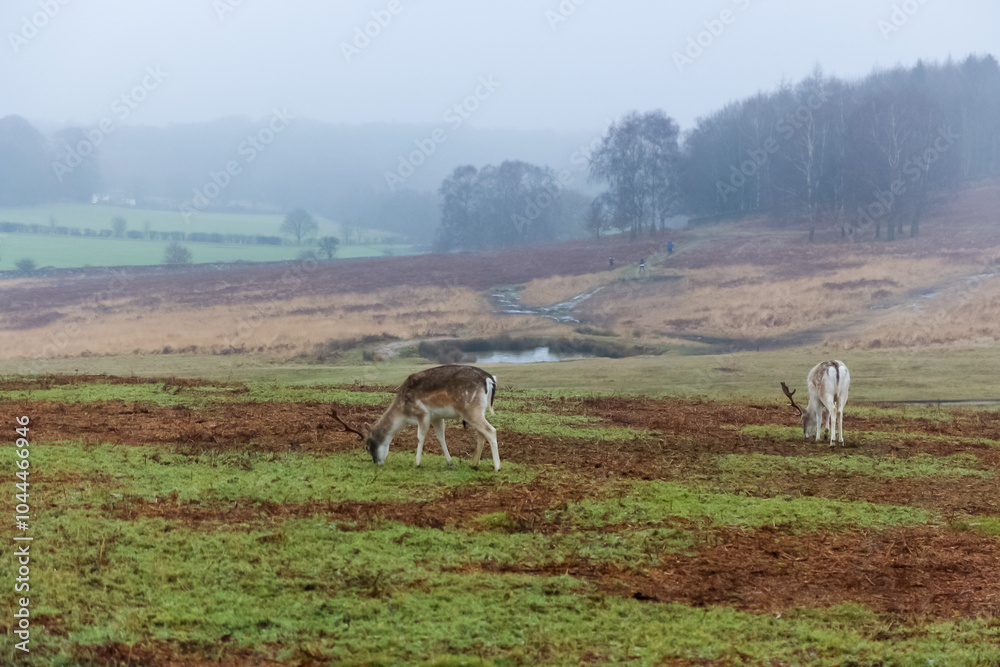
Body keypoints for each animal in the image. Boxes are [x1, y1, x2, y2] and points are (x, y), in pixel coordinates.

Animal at [331, 364, 501, 471]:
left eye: (367, 446)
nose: (377, 462)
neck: (403, 413)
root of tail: (489, 379)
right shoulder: (436, 416)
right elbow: (441, 436)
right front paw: (450, 462)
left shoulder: (423, 412)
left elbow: (420, 436)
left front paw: (417, 463)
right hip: (478, 410)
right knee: (481, 433)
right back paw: (474, 464)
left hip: (469, 409)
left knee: (491, 430)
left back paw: (497, 467)